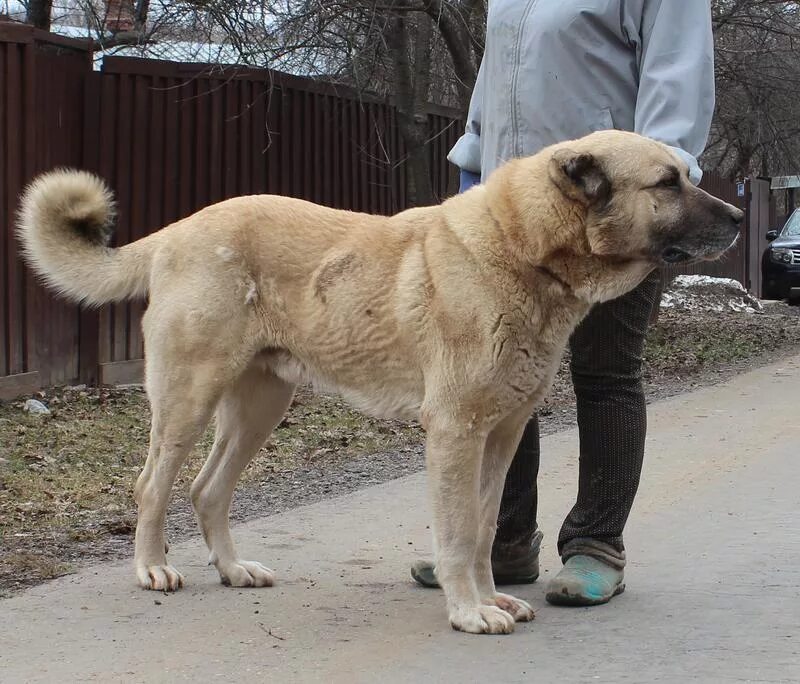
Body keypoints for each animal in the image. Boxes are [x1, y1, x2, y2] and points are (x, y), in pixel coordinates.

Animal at [15, 131, 740, 632]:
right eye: (667, 182)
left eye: (684, 174)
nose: (737, 219)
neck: (524, 251)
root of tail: (177, 231)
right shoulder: (453, 433)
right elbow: (457, 532)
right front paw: (468, 611)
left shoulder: (501, 435)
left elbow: (482, 526)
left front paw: (489, 597)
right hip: (189, 400)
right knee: (153, 486)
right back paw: (151, 567)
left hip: (260, 407)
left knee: (206, 489)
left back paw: (232, 569)